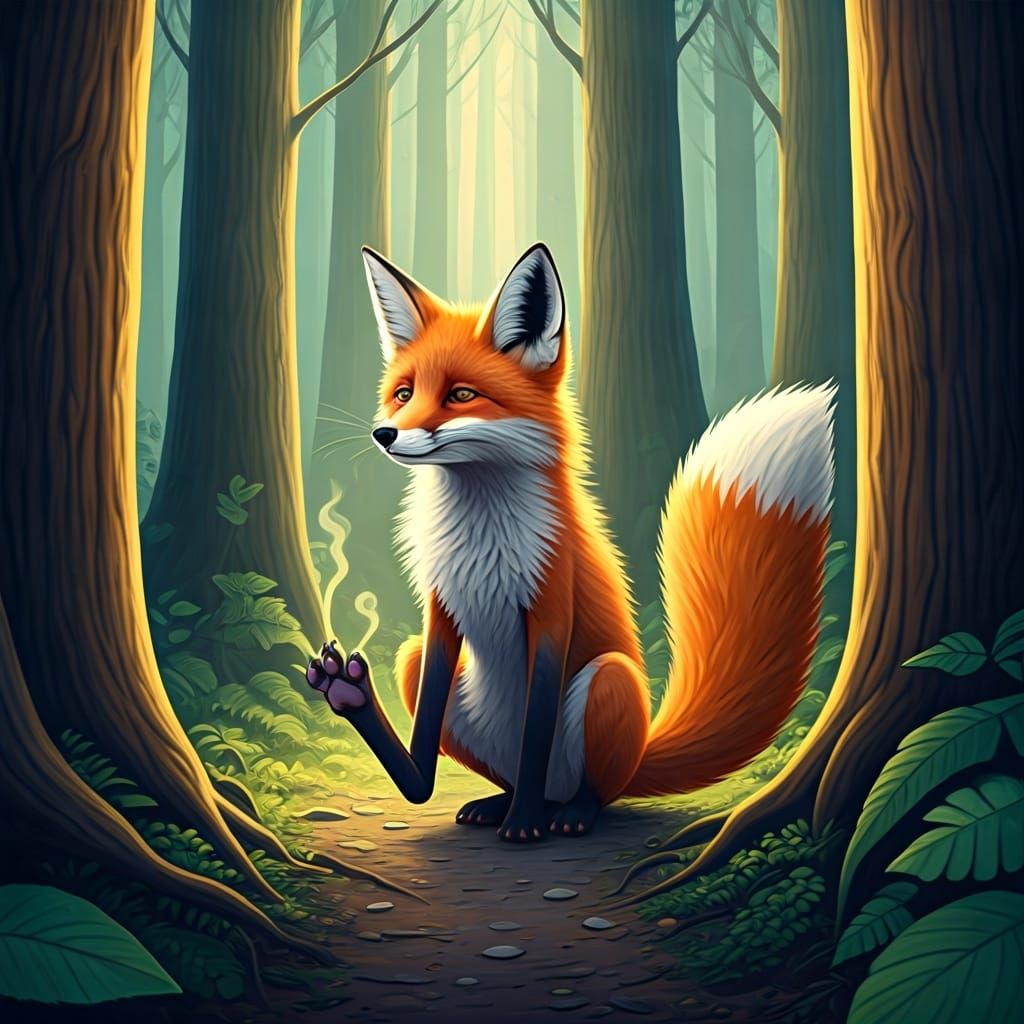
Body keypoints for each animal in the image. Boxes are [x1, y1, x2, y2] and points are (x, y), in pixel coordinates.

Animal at [306, 242, 835, 843]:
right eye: (403, 393)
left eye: (461, 395)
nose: (384, 434)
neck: (481, 538)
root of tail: (641, 753)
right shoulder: (441, 616)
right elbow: (422, 763)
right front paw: (358, 708)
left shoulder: (552, 607)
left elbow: (537, 730)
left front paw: (525, 826)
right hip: (412, 663)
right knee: (508, 773)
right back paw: (482, 790)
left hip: (609, 680)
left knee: (591, 790)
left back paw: (565, 813)